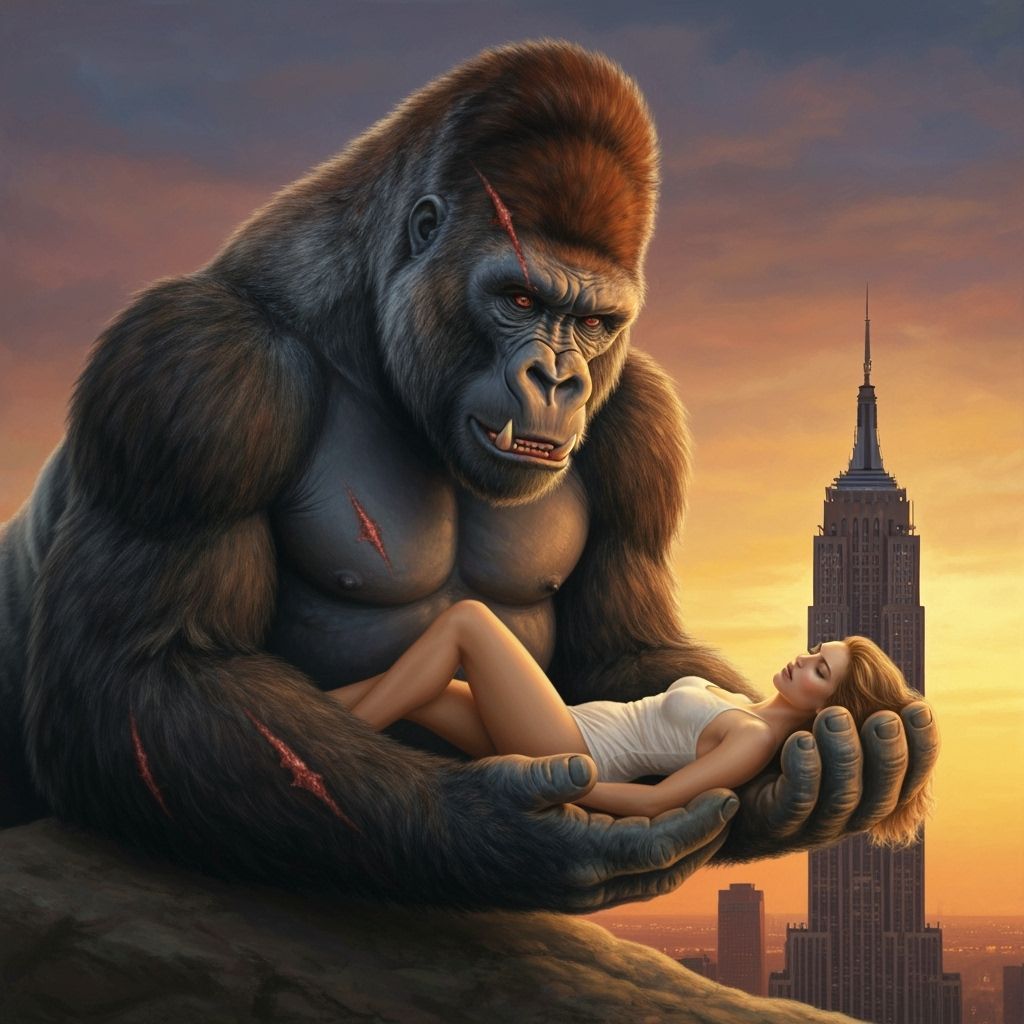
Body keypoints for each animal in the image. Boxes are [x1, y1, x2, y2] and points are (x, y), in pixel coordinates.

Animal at [0, 40, 939, 911]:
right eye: (520, 299)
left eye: (594, 322)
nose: (559, 381)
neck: (371, 327)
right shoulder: (191, 376)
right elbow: (144, 677)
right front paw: (499, 830)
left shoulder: (640, 422)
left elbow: (619, 649)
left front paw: (818, 780)